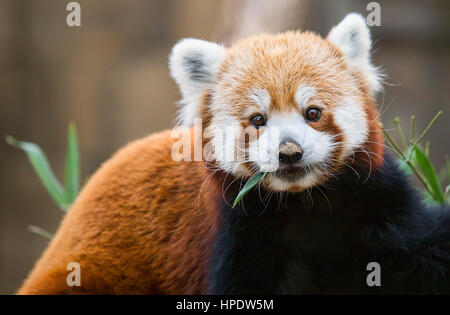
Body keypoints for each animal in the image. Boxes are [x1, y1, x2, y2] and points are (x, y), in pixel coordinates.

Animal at [18, 14, 450, 296]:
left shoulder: (375, 203)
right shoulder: (229, 233)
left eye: (312, 113)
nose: (289, 152)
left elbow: (427, 248)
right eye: (257, 120)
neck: (304, 204)